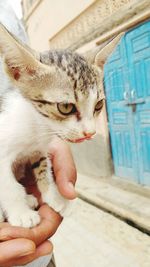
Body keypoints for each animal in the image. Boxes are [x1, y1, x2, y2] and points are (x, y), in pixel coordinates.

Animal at [0, 23, 122, 228]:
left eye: (98, 105)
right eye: (65, 107)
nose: (90, 133)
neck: (37, 124)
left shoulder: (39, 149)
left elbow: (44, 171)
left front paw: (55, 197)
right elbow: (8, 187)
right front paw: (20, 213)